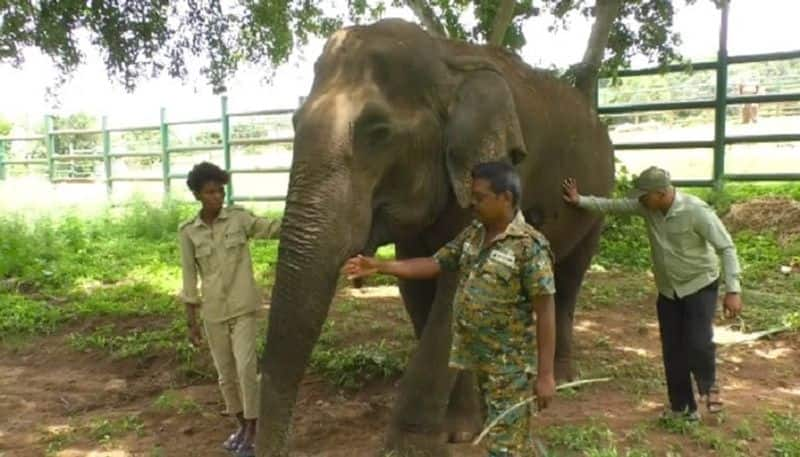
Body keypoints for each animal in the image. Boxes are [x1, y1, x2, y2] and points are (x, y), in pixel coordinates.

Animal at [256, 17, 612, 456]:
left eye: (379, 132)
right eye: (292, 123)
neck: (447, 57)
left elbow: (454, 292)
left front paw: (413, 444)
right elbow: (421, 287)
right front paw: (463, 427)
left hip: (598, 199)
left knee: (569, 279)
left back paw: (562, 380)